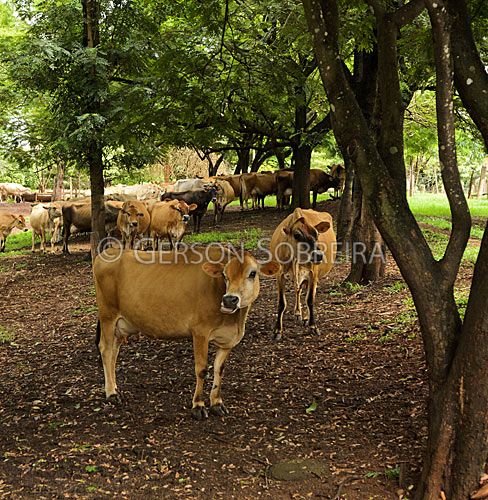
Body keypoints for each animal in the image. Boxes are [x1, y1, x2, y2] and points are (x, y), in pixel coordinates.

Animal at [93, 246, 279, 419]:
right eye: (224, 275)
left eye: (253, 273)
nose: (229, 300)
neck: (235, 321)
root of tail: (108, 252)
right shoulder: (200, 332)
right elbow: (202, 369)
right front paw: (198, 405)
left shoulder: (228, 340)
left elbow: (219, 369)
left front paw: (217, 403)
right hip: (108, 315)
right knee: (106, 350)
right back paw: (111, 394)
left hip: (121, 325)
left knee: (114, 352)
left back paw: (114, 387)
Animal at [270, 208, 336, 340]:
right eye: (297, 235)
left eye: (317, 234)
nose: (318, 255)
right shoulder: (279, 275)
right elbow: (281, 303)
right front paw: (277, 330)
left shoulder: (313, 274)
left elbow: (310, 300)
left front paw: (313, 326)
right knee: (298, 290)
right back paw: (297, 313)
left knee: (304, 292)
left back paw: (305, 317)